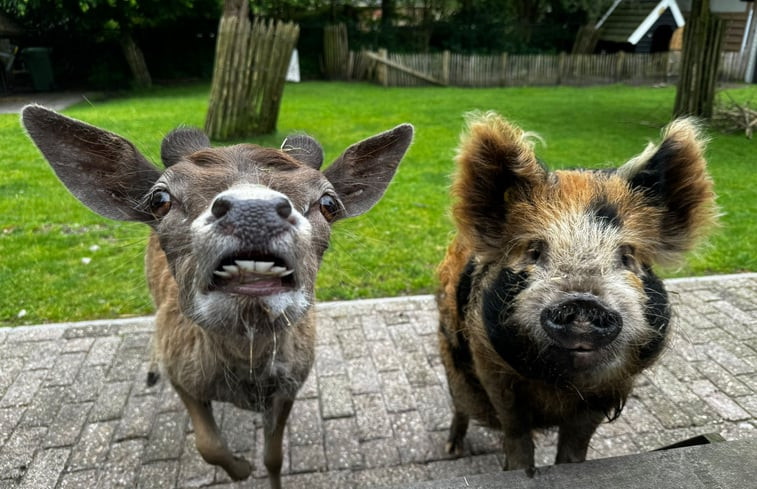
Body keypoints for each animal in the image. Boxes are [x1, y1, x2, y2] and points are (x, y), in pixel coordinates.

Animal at [22, 105, 414, 486]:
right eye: (160, 198)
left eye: (328, 202)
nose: (253, 210)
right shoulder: (182, 375)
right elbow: (207, 444)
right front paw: (241, 468)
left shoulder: (293, 382)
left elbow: (275, 457)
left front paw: (260, 470)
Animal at [438, 111, 716, 472]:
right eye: (535, 251)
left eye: (627, 255)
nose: (583, 301)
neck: (560, 386)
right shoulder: (491, 369)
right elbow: (516, 430)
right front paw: (517, 469)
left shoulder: (610, 390)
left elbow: (576, 442)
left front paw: (569, 466)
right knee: (459, 404)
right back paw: (452, 450)